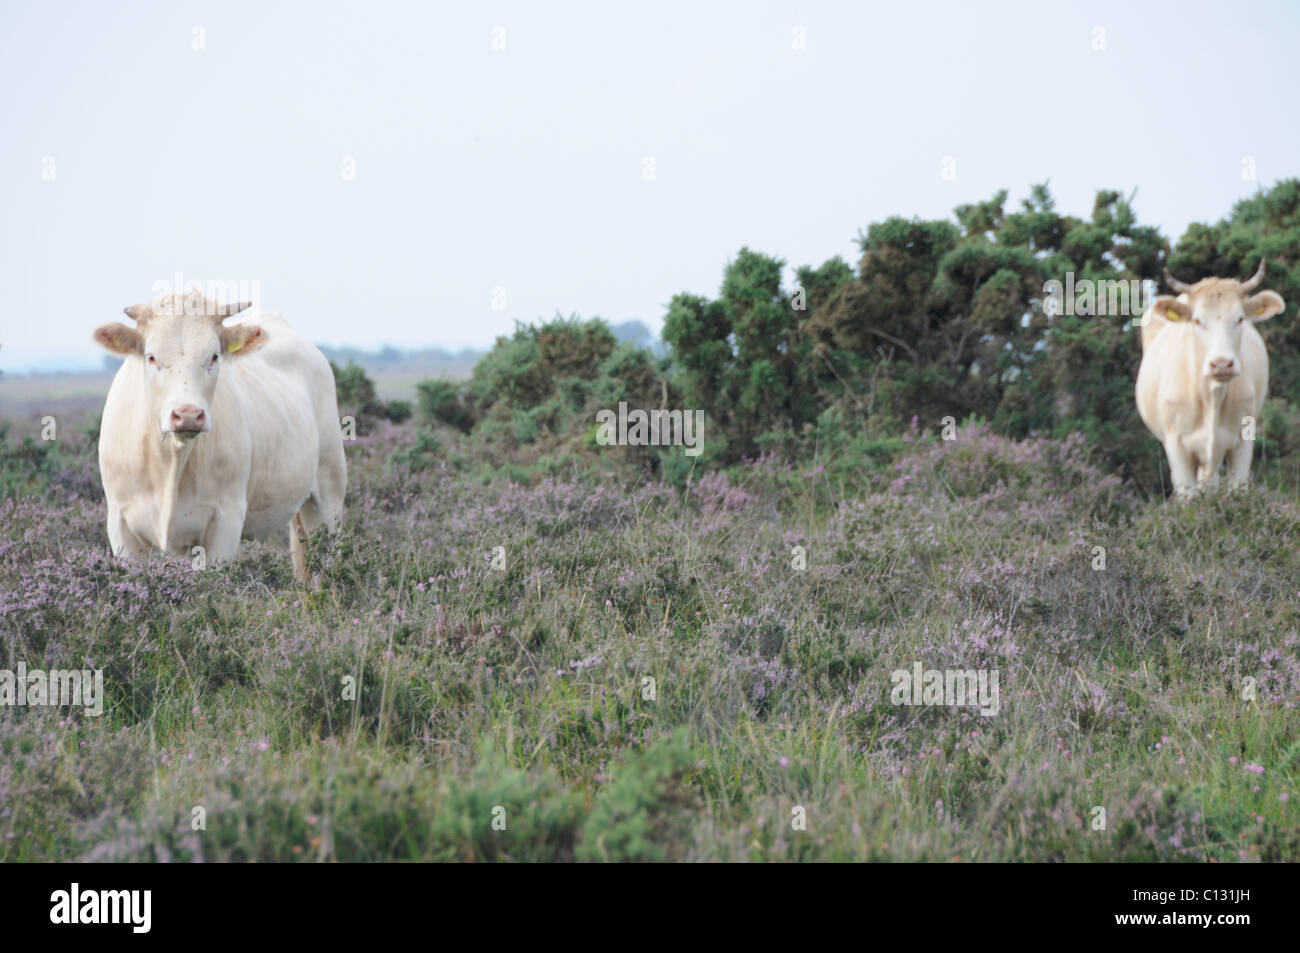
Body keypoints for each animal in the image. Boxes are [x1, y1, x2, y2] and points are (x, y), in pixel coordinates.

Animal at [92, 290, 347, 581]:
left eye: (214, 356)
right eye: (151, 357)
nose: (188, 414)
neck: (169, 462)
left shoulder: (226, 518)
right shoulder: (120, 523)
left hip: (329, 491)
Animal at [1135, 260, 1285, 496]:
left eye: (1240, 319)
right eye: (1197, 320)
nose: (1221, 364)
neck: (1211, 395)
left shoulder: (1243, 441)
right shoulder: (1176, 444)